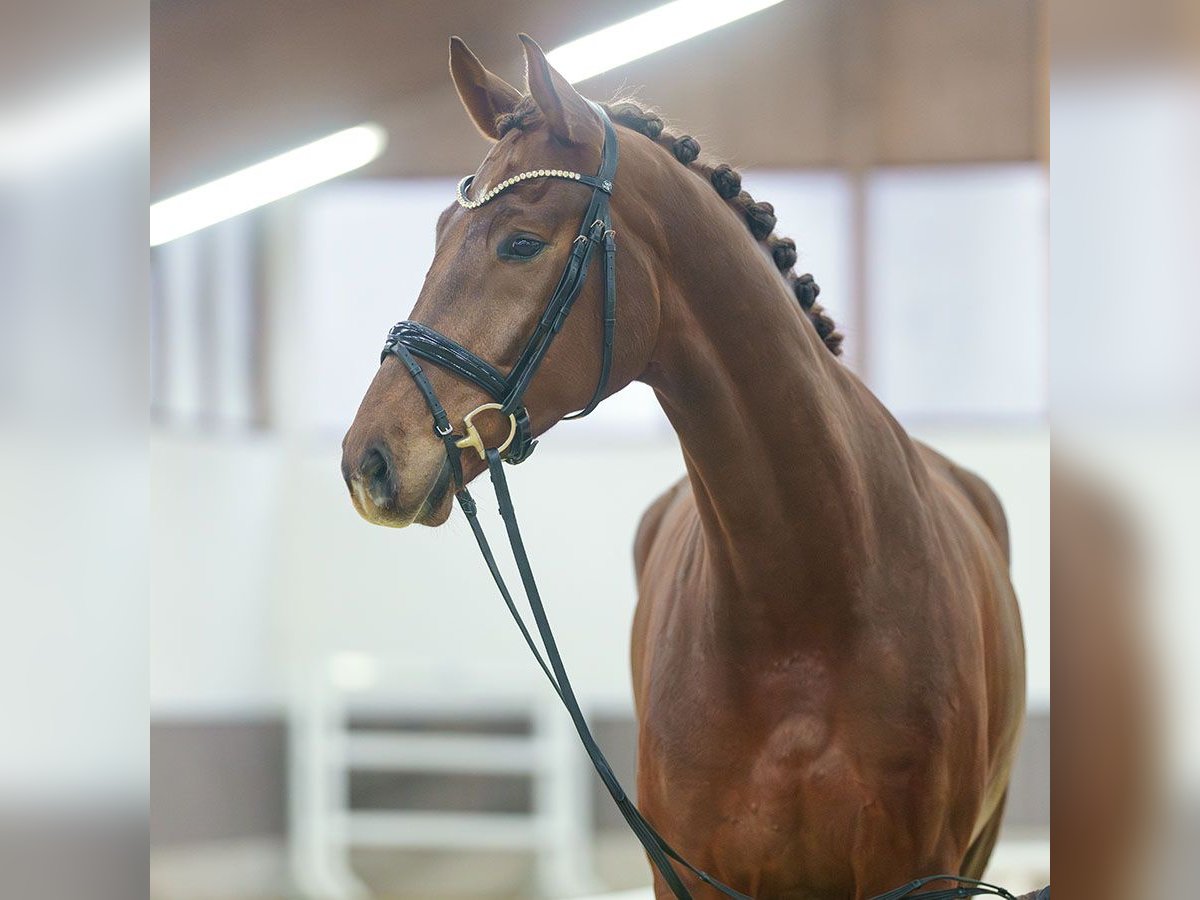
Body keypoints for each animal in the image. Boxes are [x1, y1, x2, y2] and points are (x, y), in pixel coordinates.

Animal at [343, 31, 1027, 897]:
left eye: (521, 243)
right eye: (435, 232)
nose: (368, 459)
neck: (802, 610)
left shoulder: (923, 874)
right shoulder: (686, 874)